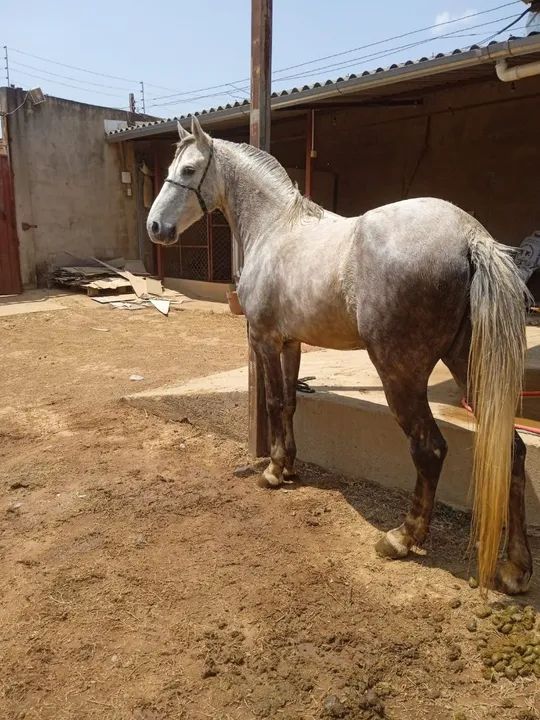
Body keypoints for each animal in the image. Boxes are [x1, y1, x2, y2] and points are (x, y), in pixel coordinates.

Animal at [147, 117, 532, 595]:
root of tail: (470, 237)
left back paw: (402, 538)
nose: (155, 227)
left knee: (430, 449)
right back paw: (516, 568)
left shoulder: (265, 340)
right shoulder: (291, 343)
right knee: (513, 452)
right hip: (469, 367)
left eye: (188, 169)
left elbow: (272, 403)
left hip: (400, 374)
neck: (275, 228)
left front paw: (273, 471)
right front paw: (290, 467)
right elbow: (290, 403)